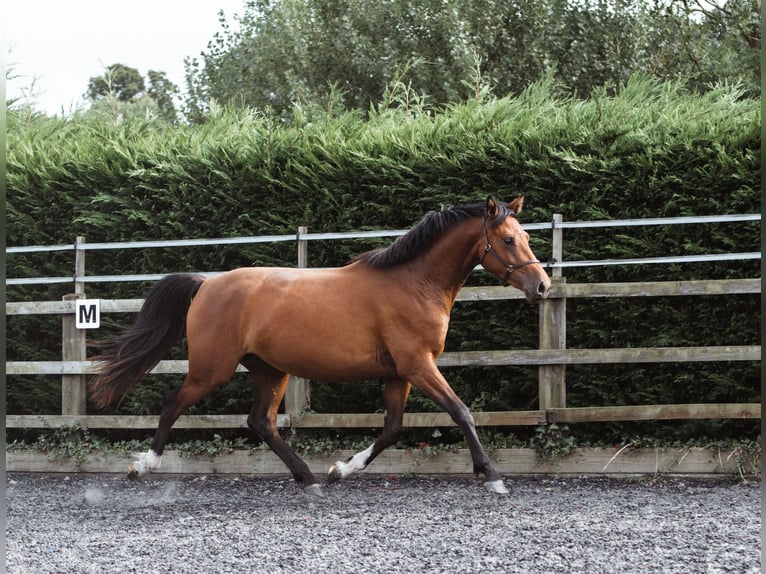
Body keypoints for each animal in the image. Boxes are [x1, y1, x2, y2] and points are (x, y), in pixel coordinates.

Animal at [90, 197, 552, 496]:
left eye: (525, 236)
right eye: (508, 240)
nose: (543, 286)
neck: (414, 282)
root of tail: (206, 284)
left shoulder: (400, 373)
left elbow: (392, 429)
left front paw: (339, 470)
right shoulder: (418, 366)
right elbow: (461, 412)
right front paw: (492, 475)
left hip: (270, 370)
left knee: (261, 422)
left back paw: (308, 478)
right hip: (212, 369)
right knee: (174, 403)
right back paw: (143, 466)